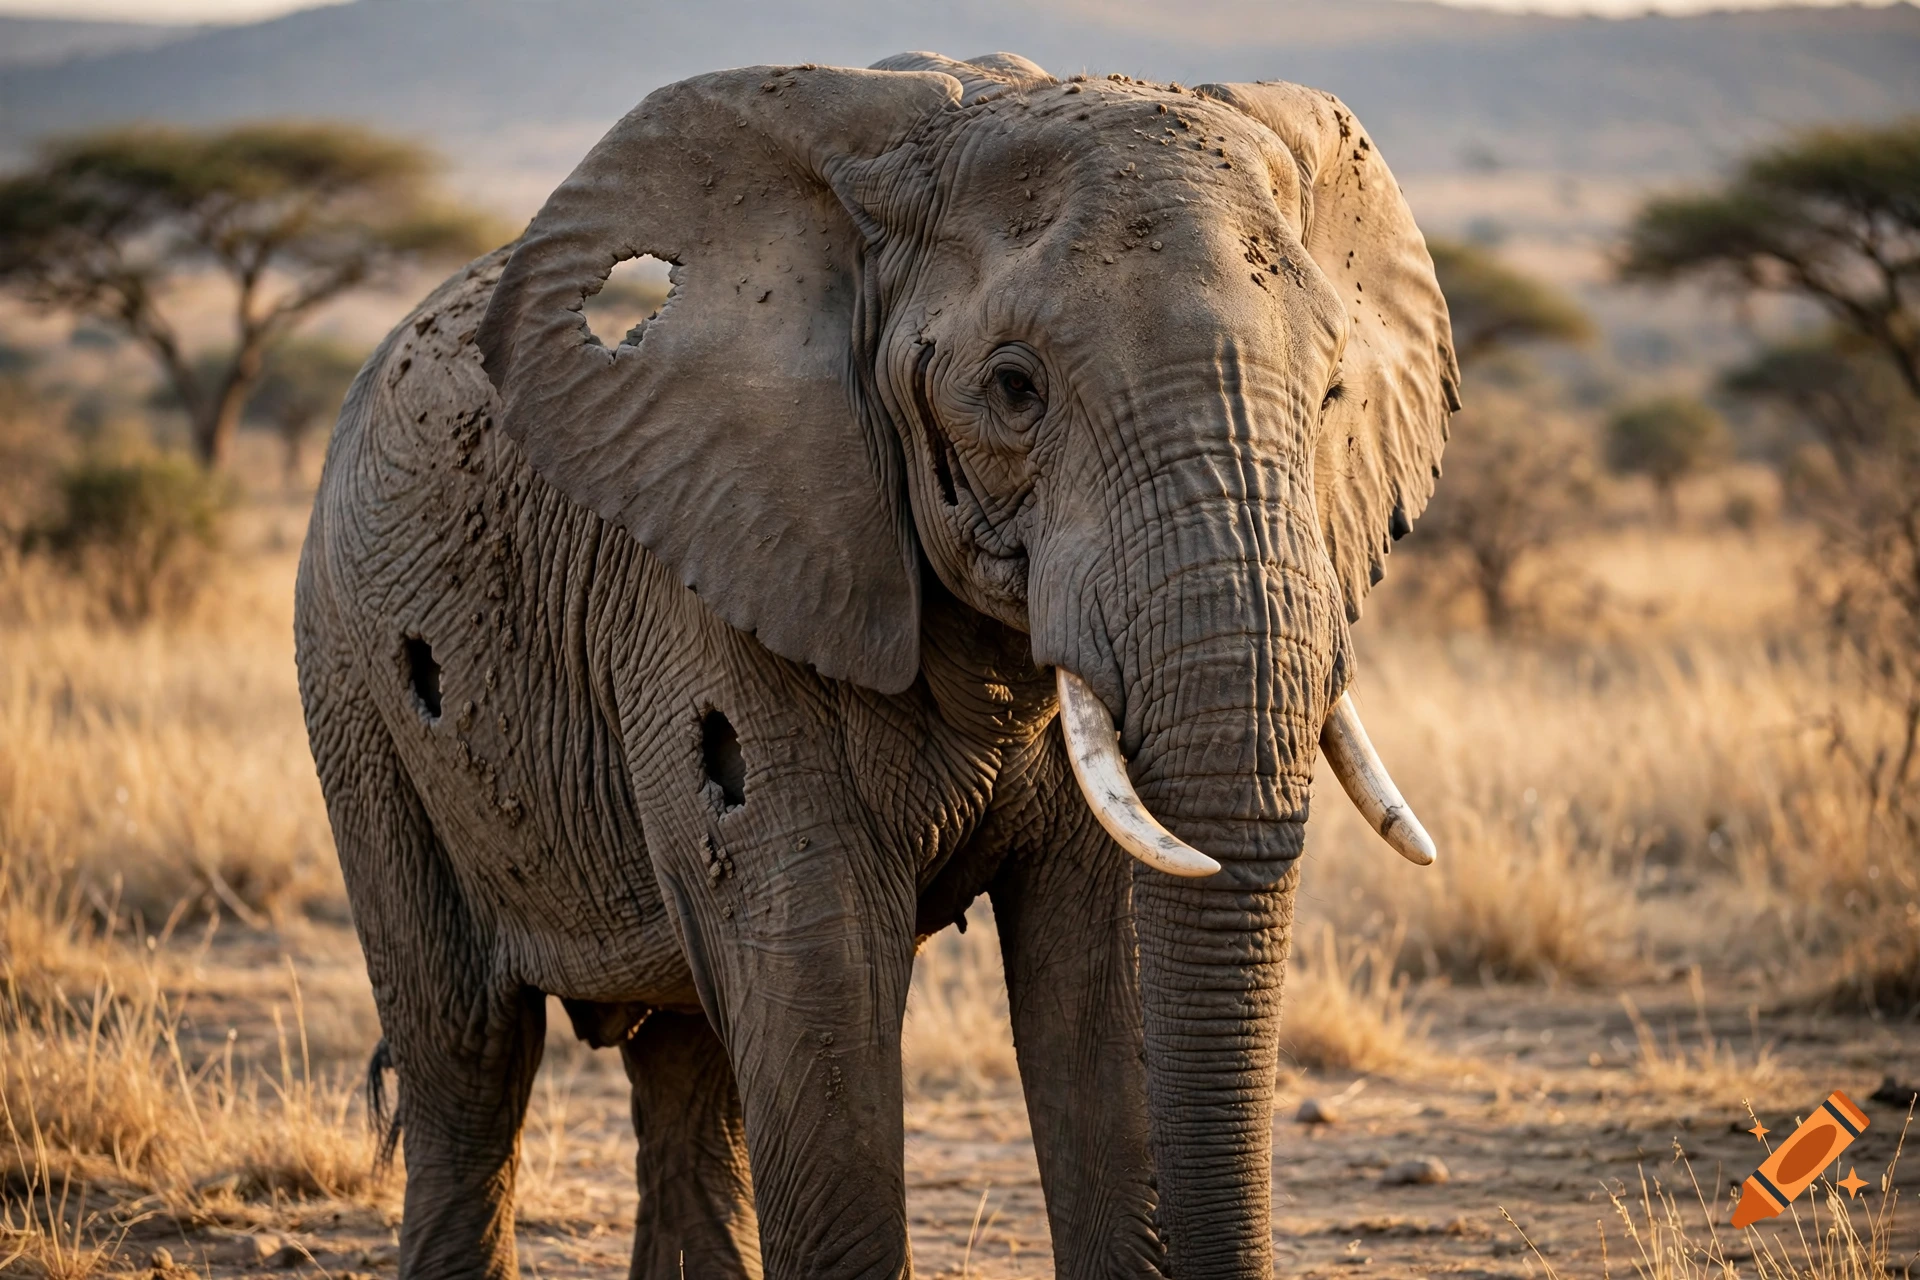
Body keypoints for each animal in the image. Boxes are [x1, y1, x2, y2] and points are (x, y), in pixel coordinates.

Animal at [294, 48, 1457, 1280]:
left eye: (1330, 391)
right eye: (1014, 387)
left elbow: (1100, 979)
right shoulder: (727, 566)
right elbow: (823, 984)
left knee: (686, 1061)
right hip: (350, 685)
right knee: (467, 1056)